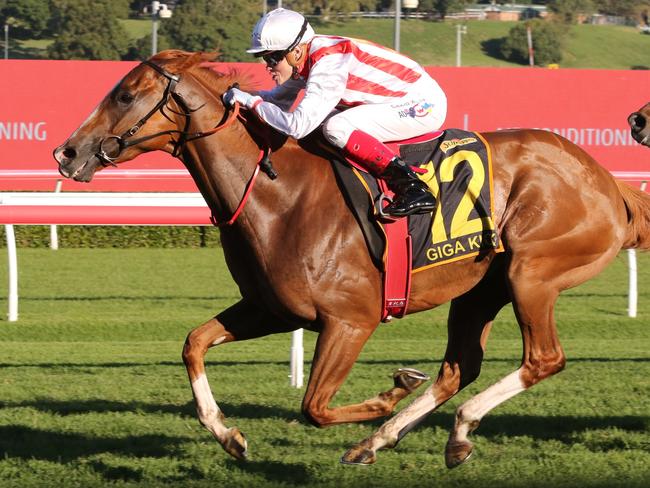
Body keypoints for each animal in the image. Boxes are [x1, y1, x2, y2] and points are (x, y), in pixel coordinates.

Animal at [52, 51, 648, 468]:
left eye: (127, 95)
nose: (67, 152)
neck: (279, 193)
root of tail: (605, 180)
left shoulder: (349, 321)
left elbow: (313, 407)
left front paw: (391, 392)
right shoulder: (271, 310)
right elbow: (193, 344)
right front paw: (230, 436)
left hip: (533, 273)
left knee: (543, 359)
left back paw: (440, 424)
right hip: (483, 288)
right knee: (459, 367)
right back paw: (399, 440)